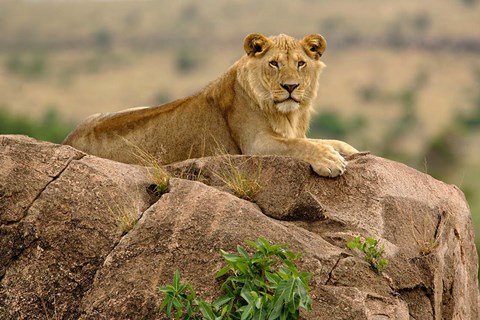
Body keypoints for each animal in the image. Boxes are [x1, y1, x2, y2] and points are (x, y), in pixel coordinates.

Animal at [62, 33, 356, 178]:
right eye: (274, 63)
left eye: (301, 63)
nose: (291, 87)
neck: (289, 115)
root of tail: (68, 138)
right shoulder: (255, 144)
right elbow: (297, 145)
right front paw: (330, 161)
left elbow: (330, 141)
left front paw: (345, 151)